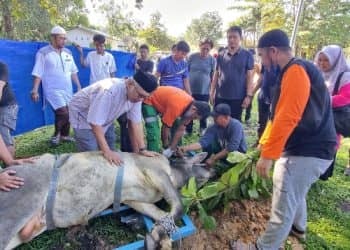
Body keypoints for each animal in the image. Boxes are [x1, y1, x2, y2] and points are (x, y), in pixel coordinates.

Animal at [0, 151, 209, 249]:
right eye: (202, 163)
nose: (213, 172)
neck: (175, 174)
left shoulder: (136, 200)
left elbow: (162, 215)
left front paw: (160, 237)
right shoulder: (155, 171)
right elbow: (179, 207)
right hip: (19, 208)